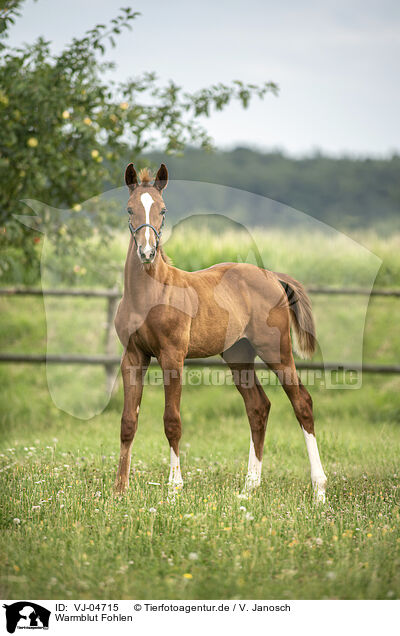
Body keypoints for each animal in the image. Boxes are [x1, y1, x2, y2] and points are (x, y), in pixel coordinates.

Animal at [114, 164, 326, 502]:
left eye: (163, 209)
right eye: (129, 208)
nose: (147, 252)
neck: (149, 292)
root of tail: (272, 276)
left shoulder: (172, 357)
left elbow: (172, 421)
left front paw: (174, 488)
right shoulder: (133, 357)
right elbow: (128, 422)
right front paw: (119, 491)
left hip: (276, 351)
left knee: (302, 403)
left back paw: (319, 490)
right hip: (238, 355)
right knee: (258, 407)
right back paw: (249, 488)